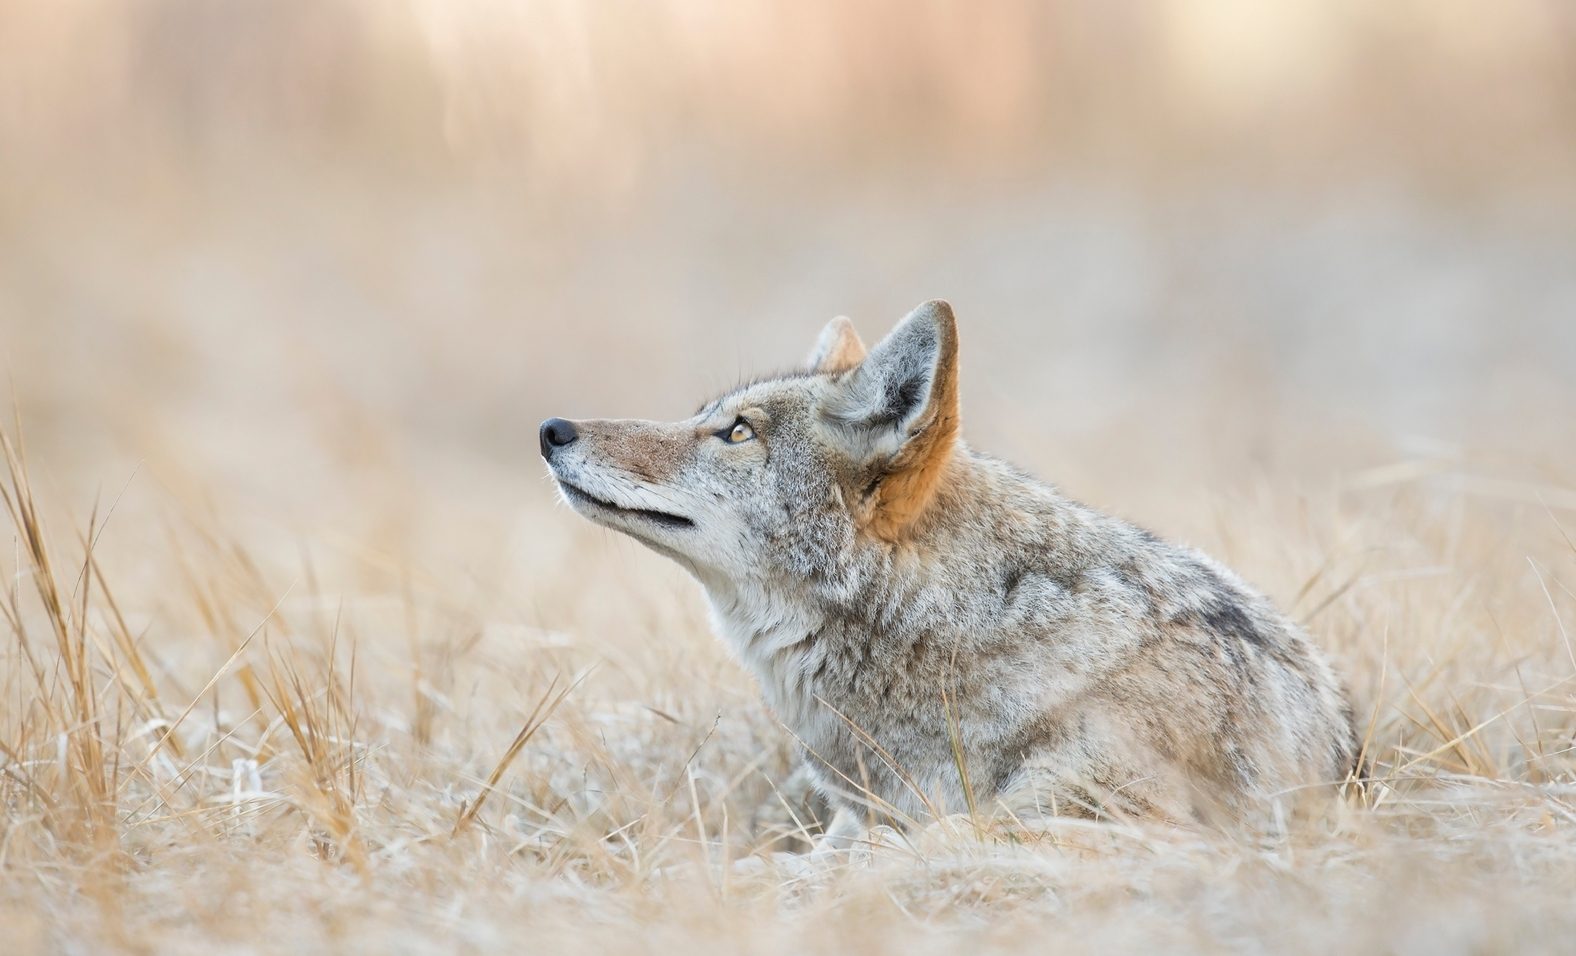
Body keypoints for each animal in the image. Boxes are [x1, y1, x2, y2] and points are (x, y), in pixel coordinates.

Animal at [538, 300, 1355, 844]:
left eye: (736, 433)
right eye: (709, 418)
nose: (553, 429)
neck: (956, 635)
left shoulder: (1117, 814)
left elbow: (926, 844)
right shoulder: (852, 821)